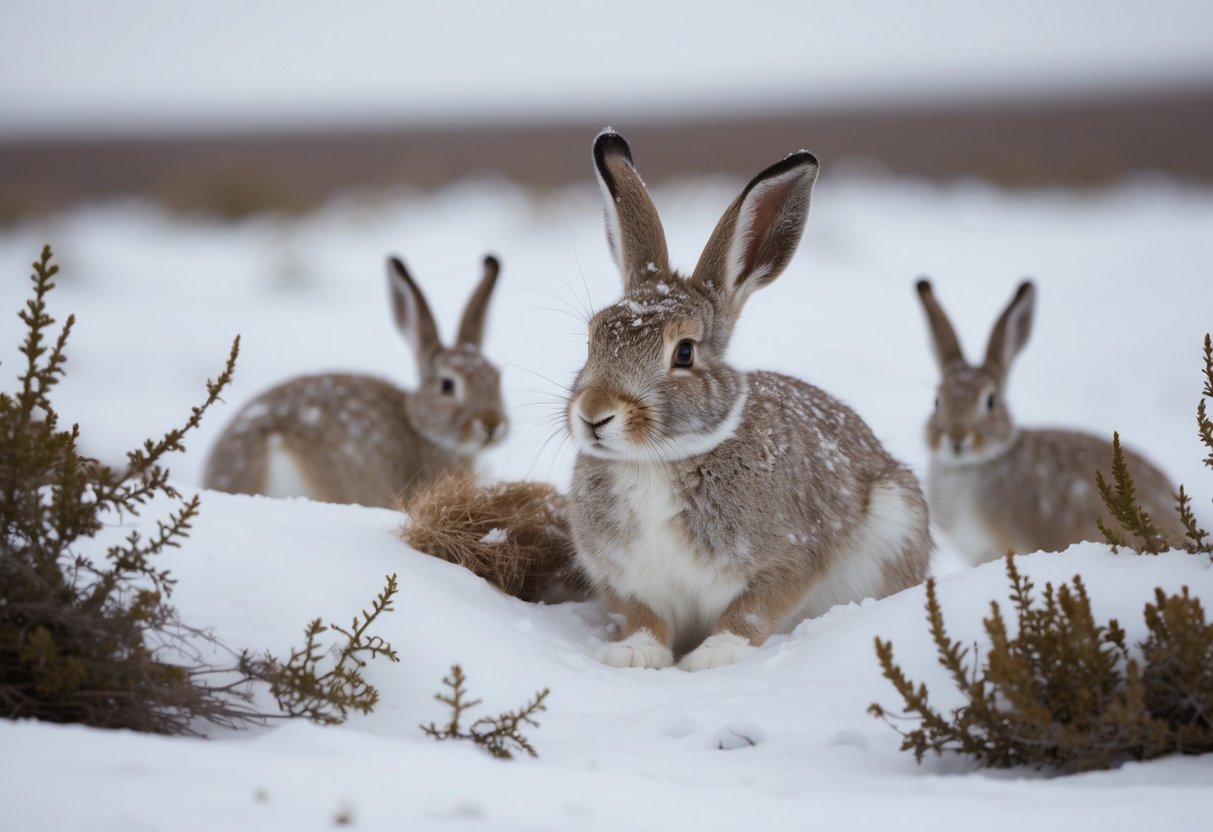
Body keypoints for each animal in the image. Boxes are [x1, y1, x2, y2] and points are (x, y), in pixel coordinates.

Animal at [566, 130, 931, 672]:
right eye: (592, 339)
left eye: (684, 352)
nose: (594, 414)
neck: (658, 462)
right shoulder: (622, 577)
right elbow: (643, 617)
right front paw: (633, 654)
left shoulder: (790, 557)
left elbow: (754, 610)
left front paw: (715, 656)